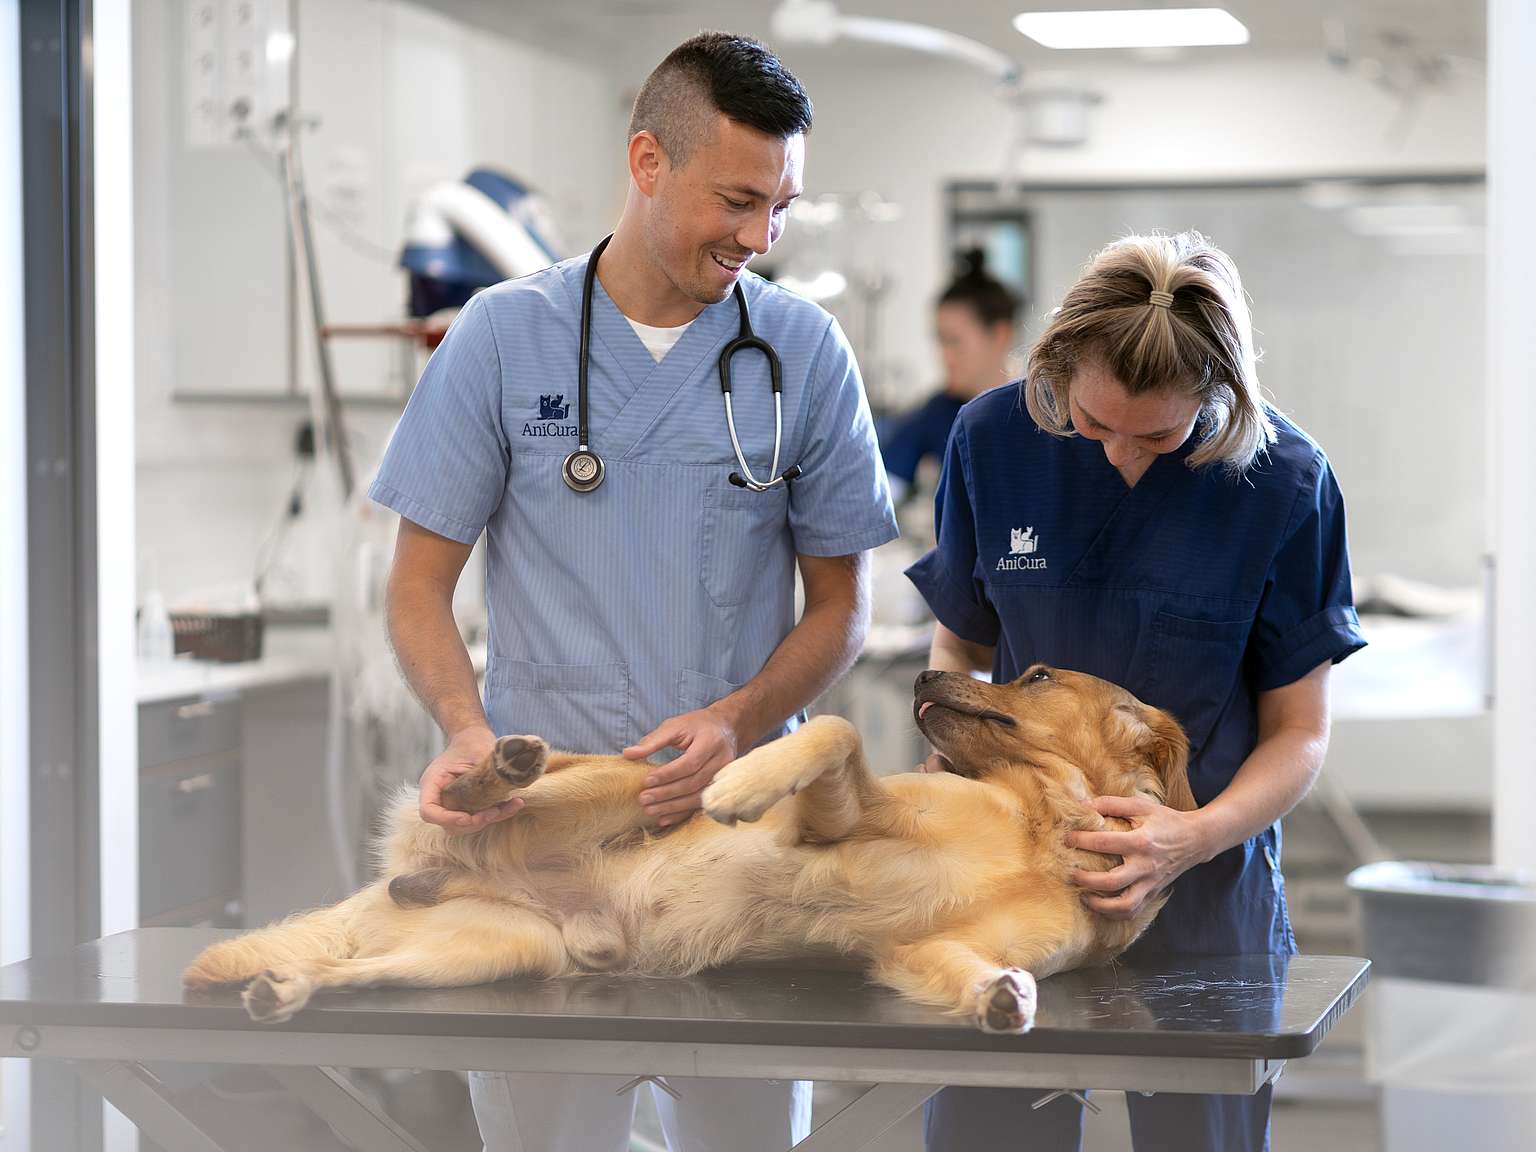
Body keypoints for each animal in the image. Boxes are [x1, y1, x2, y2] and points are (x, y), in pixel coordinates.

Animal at [179, 666, 1191, 1038]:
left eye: (1033, 674)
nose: (926, 669)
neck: (1043, 830)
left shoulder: (919, 952)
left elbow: (979, 972)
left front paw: (1002, 998)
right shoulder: (836, 818)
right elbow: (832, 732)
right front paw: (741, 786)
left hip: (485, 953)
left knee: (357, 974)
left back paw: (286, 990)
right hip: (617, 783)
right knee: (505, 791)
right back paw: (492, 771)